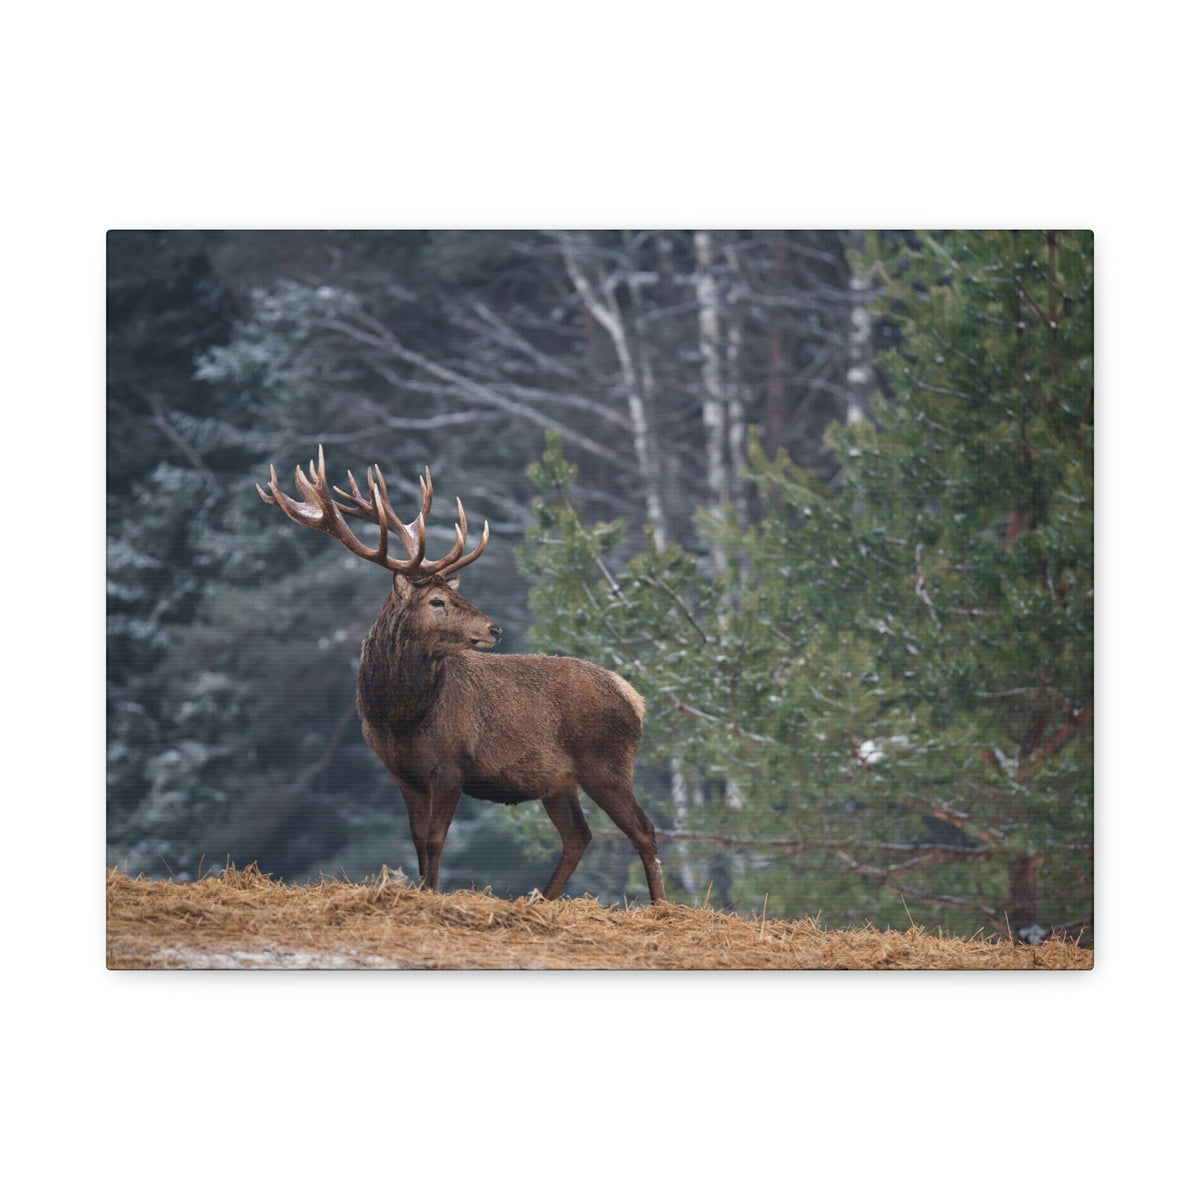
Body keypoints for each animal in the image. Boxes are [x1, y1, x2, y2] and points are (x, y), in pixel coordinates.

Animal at [258, 447, 667, 904]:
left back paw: (660, 906)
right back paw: (541, 899)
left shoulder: (451, 766)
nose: (495, 629)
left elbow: (436, 841)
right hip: (559, 782)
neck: (399, 717)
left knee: (643, 830)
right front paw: (422, 891)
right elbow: (418, 841)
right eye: (436, 600)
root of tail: (633, 695)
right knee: (578, 835)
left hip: (607, 763)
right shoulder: (404, 774)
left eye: (454, 594)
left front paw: (433, 894)